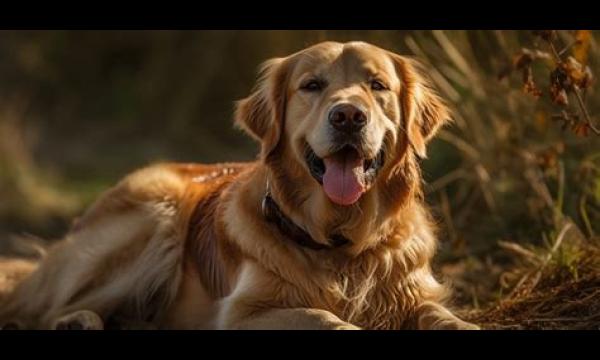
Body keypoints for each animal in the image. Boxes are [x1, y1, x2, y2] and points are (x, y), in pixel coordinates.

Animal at [0, 41, 478, 330]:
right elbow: (324, 317)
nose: (348, 116)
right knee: (46, 308)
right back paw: (78, 320)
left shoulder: (415, 293)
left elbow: (441, 315)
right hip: (151, 217)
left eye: (377, 85)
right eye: (312, 85)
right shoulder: (243, 314)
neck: (340, 242)